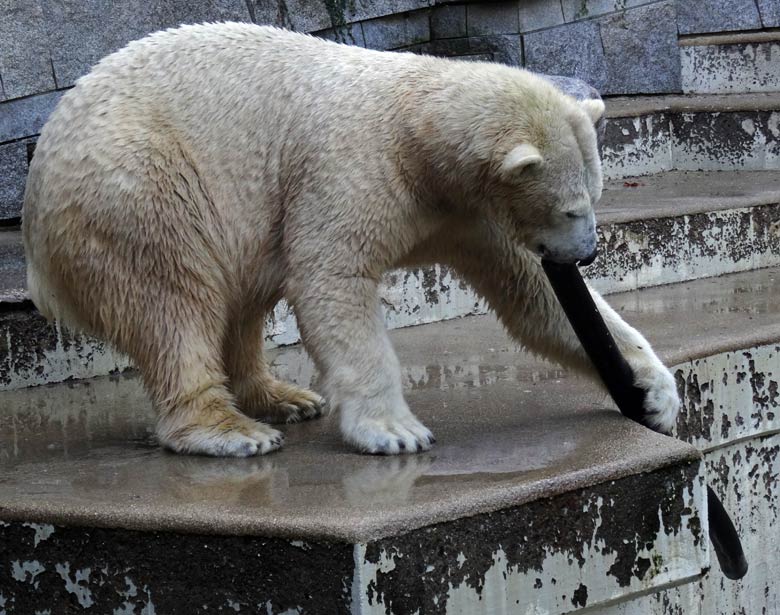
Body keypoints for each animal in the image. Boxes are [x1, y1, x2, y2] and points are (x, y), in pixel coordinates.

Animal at [22, 22, 684, 458]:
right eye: (572, 207)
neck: (417, 130)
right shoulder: (351, 168)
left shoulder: (465, 213)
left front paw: (654, 389)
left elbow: (532, 294)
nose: (586, 253)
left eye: (596, 197)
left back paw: (282, 397)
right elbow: (332, 278)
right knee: (173, 300)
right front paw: (395, 431)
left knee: (240, 298)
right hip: (137, 185)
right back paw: (232, 431)